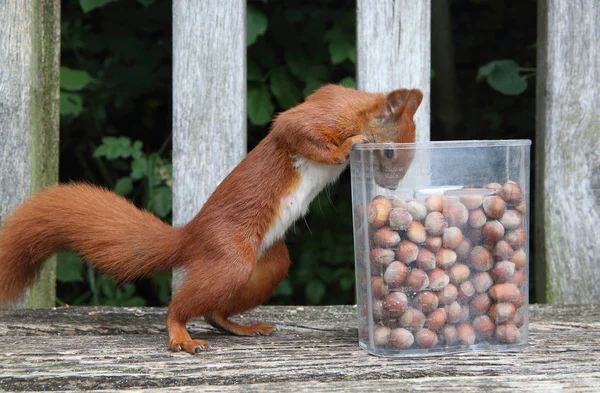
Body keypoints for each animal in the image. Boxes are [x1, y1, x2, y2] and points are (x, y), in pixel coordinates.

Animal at [0, 85, 422, 352]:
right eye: (388, 152)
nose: (392, 185)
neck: (357, 108)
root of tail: (190, 236)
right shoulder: (320, 114)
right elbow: (295, 130)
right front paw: (349, 147)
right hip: (230, 258)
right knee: (181, 308)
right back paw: (180, 336)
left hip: (267, 265)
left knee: (213, 311)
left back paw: (242, 327)